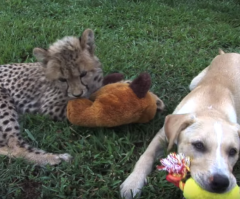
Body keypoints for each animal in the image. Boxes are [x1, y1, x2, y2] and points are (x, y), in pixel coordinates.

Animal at [121, 50, 240, 198]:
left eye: (233, 151)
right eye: (199, 145)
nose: (221, 183)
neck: (211, 109)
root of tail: (229, 53)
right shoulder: (163, 134)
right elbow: (146, 156)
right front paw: (132, 183)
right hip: (193, 82)